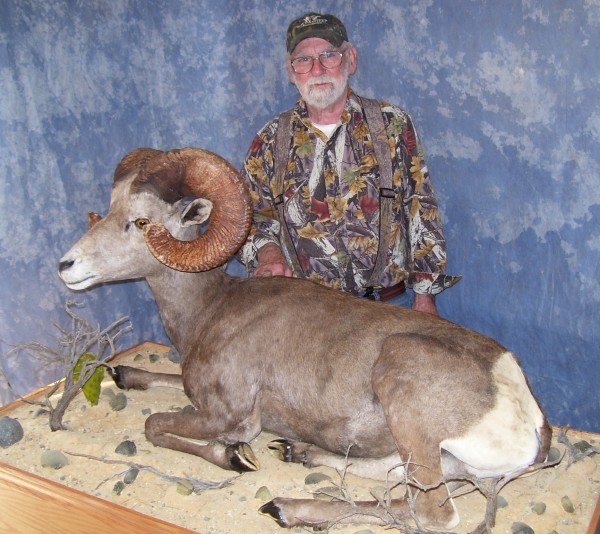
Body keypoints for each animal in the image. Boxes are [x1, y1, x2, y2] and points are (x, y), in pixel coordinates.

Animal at [58, 147, 552, 532]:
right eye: (109, 209)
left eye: (140, 221)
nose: (67, 266)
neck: (210, 308)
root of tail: (529, 419)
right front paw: (125, 373)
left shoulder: (229, 417)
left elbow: (155, 426)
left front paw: (235, 458)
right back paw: (299, 453)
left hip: (404, 392)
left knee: (429, 512)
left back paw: (285, 507)